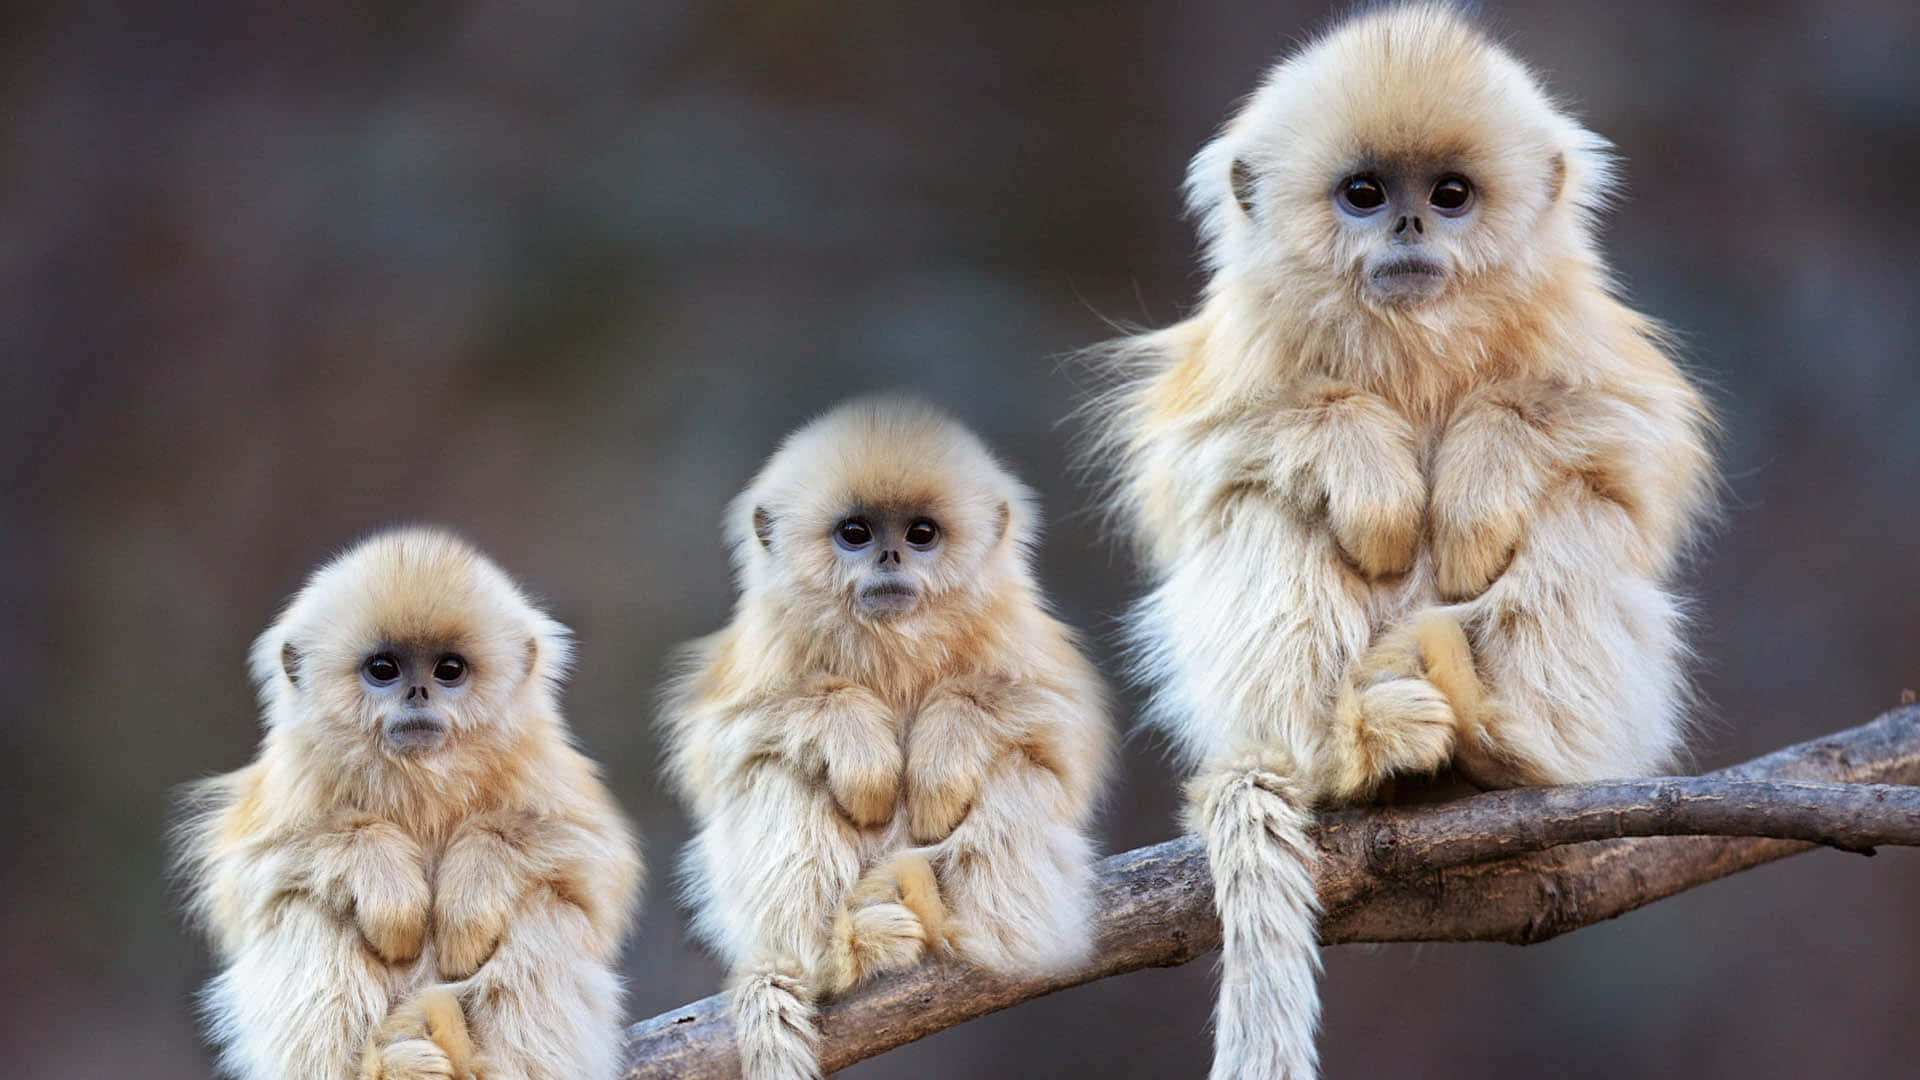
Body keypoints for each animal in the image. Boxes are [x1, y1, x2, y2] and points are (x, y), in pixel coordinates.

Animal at [174, 528, 643, 1080]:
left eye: (449, 669)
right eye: (384, 669)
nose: (418, 691)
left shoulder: (543, 769)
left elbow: (590, 863)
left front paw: (468, 899)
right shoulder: (291, 782)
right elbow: (250, 876)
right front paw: (389, 889)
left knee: (544, 907)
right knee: (306, 909)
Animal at [660, 396, 1112, 1080]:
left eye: (920, 534)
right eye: (856, 533)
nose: (890, 559)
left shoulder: (1014, 631)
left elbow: (1061, 731)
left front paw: (939, 761)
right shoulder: (765, 645)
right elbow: (719, 746)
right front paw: (861, 753)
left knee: (1017, 767)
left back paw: (1002, 939)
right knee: (775, 769)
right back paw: (842, 953)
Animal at [1083, 5, 1716, 1077]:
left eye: (1450, 195)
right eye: (1366, 194)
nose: (1412, 225)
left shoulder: (1585, 340)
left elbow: (1628, 449)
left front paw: (1472, 486)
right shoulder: (1234, 360)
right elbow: (1202, 466)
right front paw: (1373, 476)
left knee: (1576, 510)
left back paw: (1508, 749)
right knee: (1264, 509)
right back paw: (1356, 754)